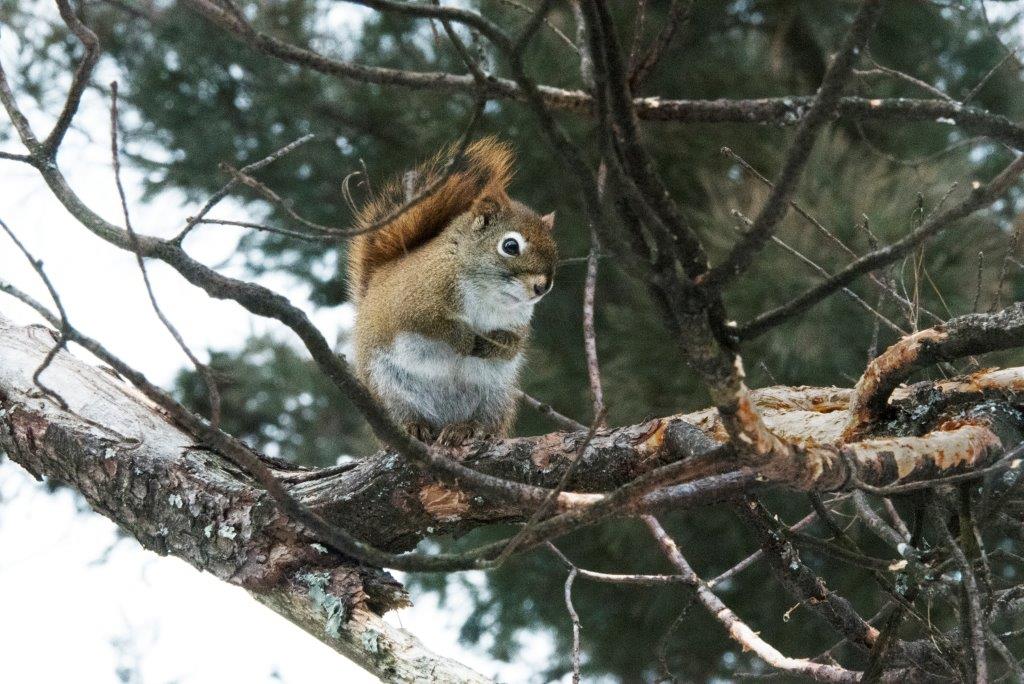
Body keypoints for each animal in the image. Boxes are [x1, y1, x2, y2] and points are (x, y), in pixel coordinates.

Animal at [348, 138, 557, 447]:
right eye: (510, 246)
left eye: (555, 249)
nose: (542, 287)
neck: (487, 293)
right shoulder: (412, 305)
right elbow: (435, 326)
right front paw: (466, 340)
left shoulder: (518, 321)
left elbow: (513, 345)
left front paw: (493, 344)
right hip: (387, 388)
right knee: (402, 414)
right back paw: (414, 427)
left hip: (494, 396)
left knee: (484, 420)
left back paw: (466, 429)